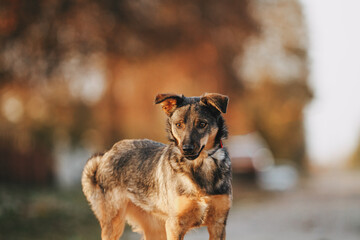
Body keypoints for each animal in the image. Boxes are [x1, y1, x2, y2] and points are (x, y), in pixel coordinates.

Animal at [81, 93, 232, 239]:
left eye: (202, 124)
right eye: (178, 125)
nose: (186, 149)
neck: (199, 165)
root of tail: (106, 155)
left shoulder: (218, 224)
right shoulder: (175, 225)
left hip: (155, 229)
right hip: (114, 223)